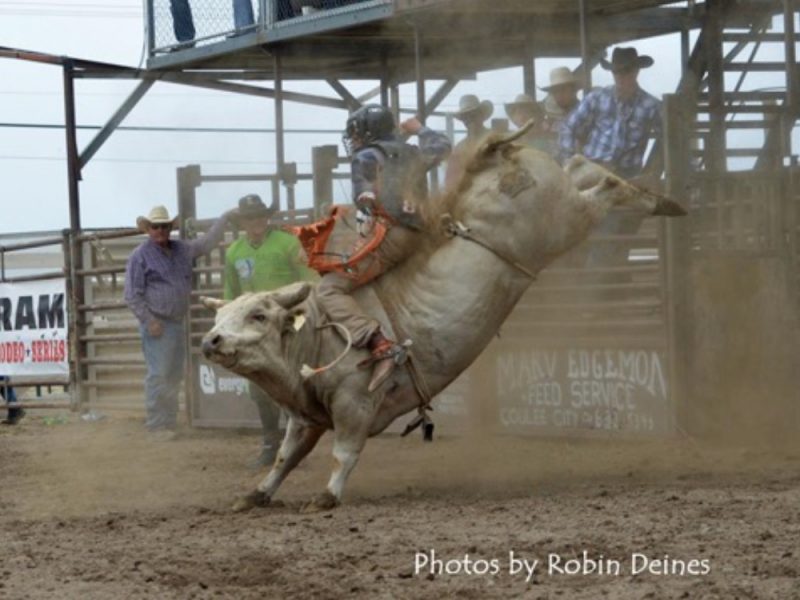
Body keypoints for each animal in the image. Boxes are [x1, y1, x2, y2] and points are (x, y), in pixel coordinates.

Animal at [203, 134, 684, 512]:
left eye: (259, 314)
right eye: (220, 314)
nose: (211, 340)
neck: (316, 339)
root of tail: (494, 156)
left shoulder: (354, 405)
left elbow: (345, 452)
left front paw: (327, 496)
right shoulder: (305, 417)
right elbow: (285, 458)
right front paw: (256, 494)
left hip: (565, 217)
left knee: (604, 188)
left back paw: (663, 201)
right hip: (561, 197)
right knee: (580, 164)